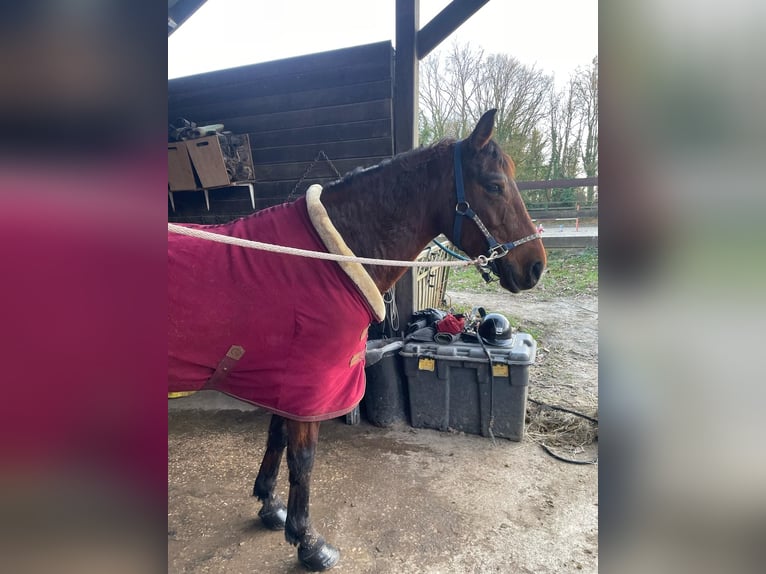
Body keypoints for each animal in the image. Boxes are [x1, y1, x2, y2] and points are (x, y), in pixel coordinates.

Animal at [168, 110, 544, 572]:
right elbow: (303, 459)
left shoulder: (287, 382)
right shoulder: (311, 384)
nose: (536, 266)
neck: (327, 257)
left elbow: (276, 439)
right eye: (493, 184)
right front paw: (308, 542)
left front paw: (271, 508)